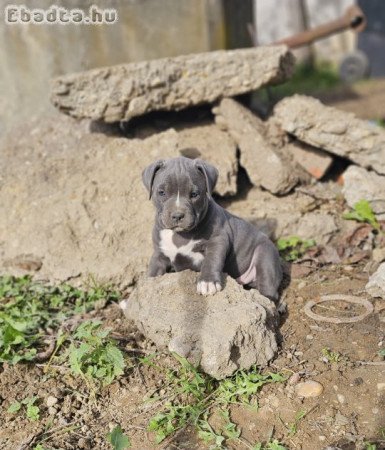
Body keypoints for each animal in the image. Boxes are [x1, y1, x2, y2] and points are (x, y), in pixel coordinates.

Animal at [142, 156, 280, 300]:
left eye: (194, 194)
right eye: (161, 192)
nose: (177, 215)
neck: (179, 235)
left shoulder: (218, 240)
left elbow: (212, 260)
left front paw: (208, 282)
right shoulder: (159, 253)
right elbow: (153, 270)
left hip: (265, 255)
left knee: (269, 288)